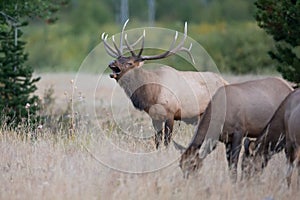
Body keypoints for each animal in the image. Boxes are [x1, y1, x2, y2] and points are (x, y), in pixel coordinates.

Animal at [102, 20, 227, 148]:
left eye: (130, 63)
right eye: (118, 59)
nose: (111, 63)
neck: (152, 95)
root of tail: (225, 82)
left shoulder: (171, 113)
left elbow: (167, 141)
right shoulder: (155, 117)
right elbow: (157, 140)